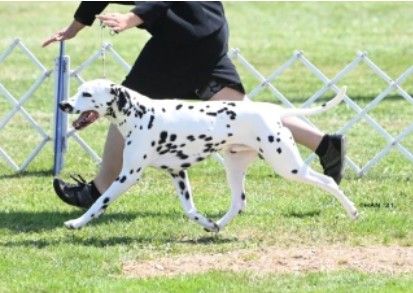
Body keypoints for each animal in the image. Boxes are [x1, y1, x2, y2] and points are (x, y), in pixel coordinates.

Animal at [58, 79, 358, 230]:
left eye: (86, 94)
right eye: (76, 91)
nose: (63, 104)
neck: (141, 114)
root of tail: (274, 111)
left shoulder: (128, 176)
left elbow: (100, 202)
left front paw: (77, 222)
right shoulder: (178, 173)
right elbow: (190, 210)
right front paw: (206, 222)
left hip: (289, 167)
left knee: (329, 182)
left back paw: (352, 211)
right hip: (234, 168)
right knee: (238, 202)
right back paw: (218, 226)